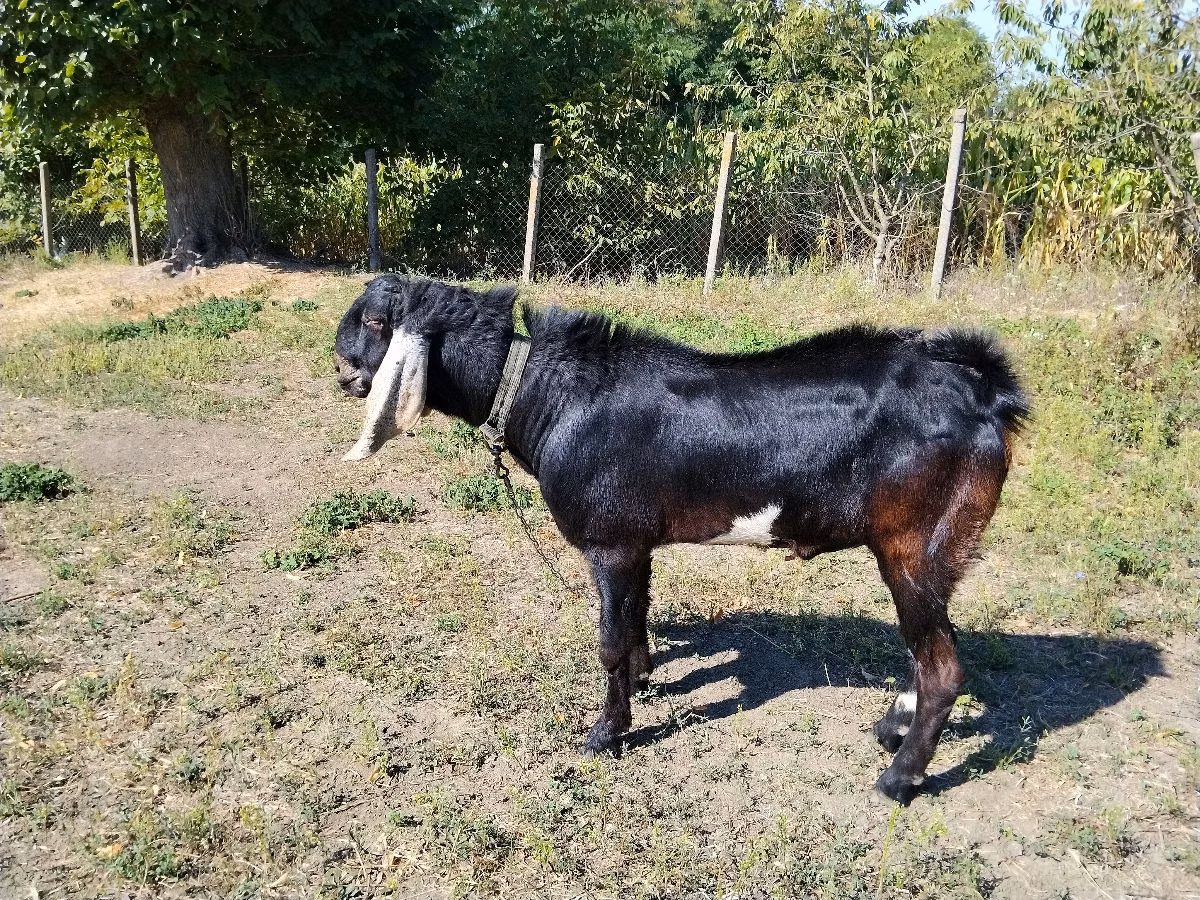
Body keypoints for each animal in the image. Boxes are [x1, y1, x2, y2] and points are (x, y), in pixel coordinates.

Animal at [333, 275, 1029, 803]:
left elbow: (610, 640)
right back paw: (891, 728)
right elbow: (637, 613)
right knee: (928, 648)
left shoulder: (609, 541)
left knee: (942, 666)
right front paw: (646, 681)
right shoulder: (635, 542)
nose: (340, 370)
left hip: (912, 543)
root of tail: (984, 394)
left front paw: (606, 735)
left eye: (376, 321)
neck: (546, 391)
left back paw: (898, 778)